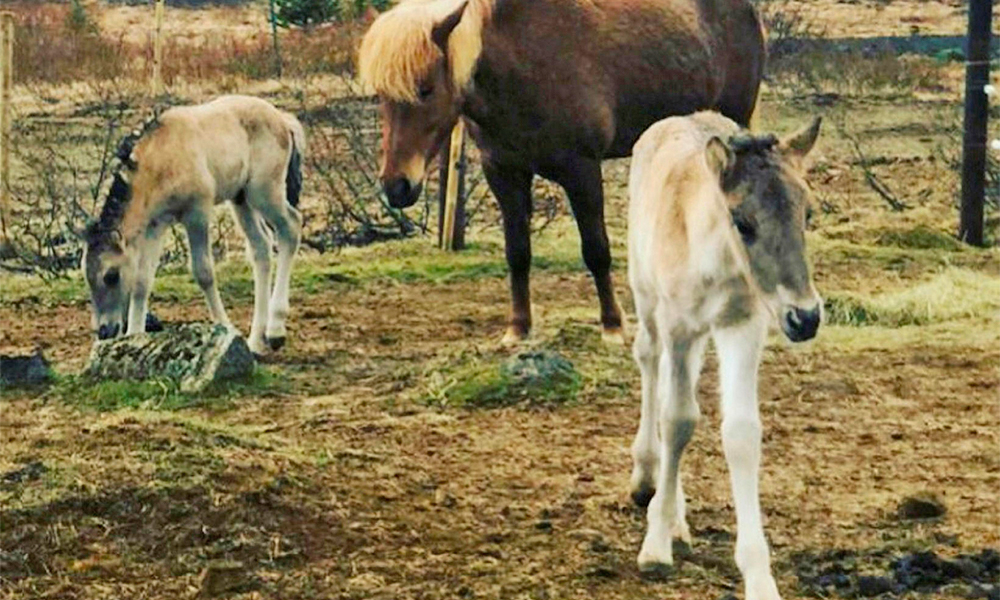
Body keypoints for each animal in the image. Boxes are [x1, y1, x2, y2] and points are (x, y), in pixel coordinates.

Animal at [82, 96, 304, 354]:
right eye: (87, 277)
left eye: (111, 276)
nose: (104, 331)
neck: (160, 158)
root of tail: (283, 120)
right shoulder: (156, 225)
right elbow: (141, 282)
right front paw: (134, 337)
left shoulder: (197, 213)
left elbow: (203, 273)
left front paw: (225, 326)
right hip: (241, 199)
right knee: (261, 248)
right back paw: (256, 341)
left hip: (264, 191)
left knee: (291, 227)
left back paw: (275, 330)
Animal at [360, 0, 764, 342]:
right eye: (381, 95)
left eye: (426, 89)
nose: (396, 186)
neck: (523, 60)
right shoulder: (504, 173)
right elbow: (517, 251)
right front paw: (518, 328)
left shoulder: (580, 170)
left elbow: (596, 249)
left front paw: (613, 326)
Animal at [628, 112, 824, 600]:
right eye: (743, 221)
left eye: (808, 213)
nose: (805, 317)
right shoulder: (677, 324)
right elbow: (678, 420)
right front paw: (655, 546)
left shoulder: (743, 326)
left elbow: (740, 434)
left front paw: (759, 576)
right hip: (647, 299)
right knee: (649, 364)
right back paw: (647, 481)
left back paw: (676, 515)